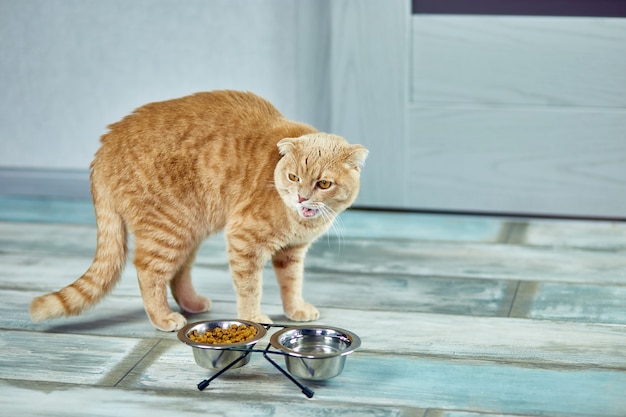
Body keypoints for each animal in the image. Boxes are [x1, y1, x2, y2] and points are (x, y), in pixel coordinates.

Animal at [29, 91, 366, 332]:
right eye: (294, 177)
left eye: (323, 183)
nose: (300, 197)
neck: (298, 221)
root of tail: (105, 144)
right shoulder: (244, 240)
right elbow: (250, 287)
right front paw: (253, 317)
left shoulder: (291, 253)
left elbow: (292, 284)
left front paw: (295, 309)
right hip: (169, 229)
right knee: (148, 272)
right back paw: (163, 318)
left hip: (189, 229)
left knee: (178, 273)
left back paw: (190, 304)